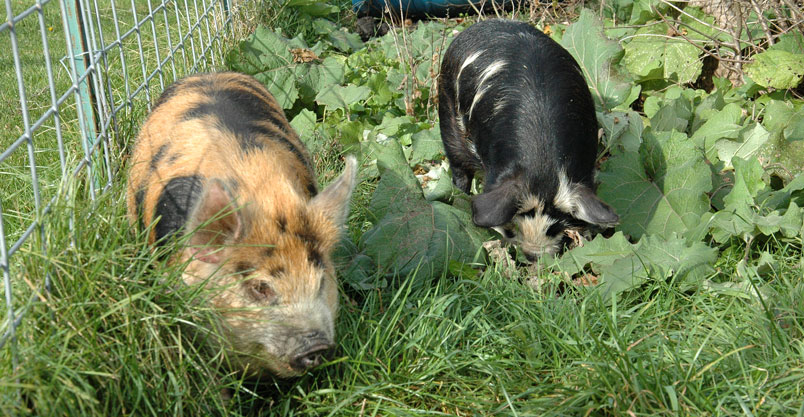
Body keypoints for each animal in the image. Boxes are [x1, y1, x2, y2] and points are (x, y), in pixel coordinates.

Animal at [437, 19, 618, 261]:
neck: (543, 164)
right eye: (511, 228)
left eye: (557, 227)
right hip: (446, 112)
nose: (534, 256)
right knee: (458, 166)